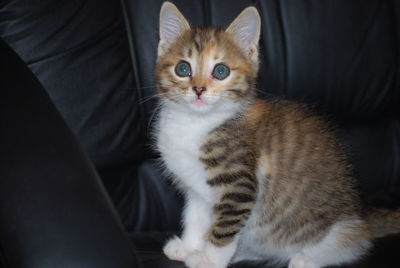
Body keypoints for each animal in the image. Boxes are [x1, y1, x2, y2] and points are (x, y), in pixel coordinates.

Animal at [154, 2, 400, 268]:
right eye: (182, 68)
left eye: (220, 71)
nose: (198, 89)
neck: (196, 122)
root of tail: (360, 213)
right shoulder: (196, 188)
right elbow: (195, 217)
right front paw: (189, 247)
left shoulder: (239, 186)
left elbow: (224, 226)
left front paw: (209, 258)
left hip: (337, 227)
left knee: (354, 241)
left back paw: (308, 258)